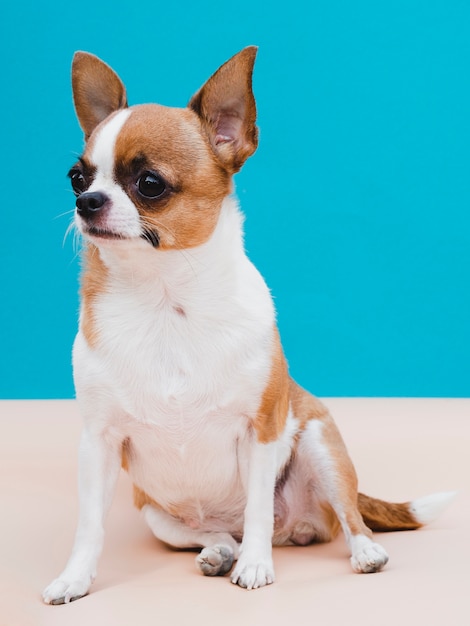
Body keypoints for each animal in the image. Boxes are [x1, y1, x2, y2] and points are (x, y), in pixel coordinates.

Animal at [43, 46, 452, 604]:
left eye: (149, 183)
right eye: (76, 178)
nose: (86, 202)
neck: (165, 301)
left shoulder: (259, 431)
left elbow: (257, 509)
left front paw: (257, 567)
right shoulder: (99, 444)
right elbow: (89, 525)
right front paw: (75, 578)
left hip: (320, 446)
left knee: (340, 517)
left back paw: (358, 550)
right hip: (155, 513)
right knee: (215, 533)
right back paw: (219, 551)